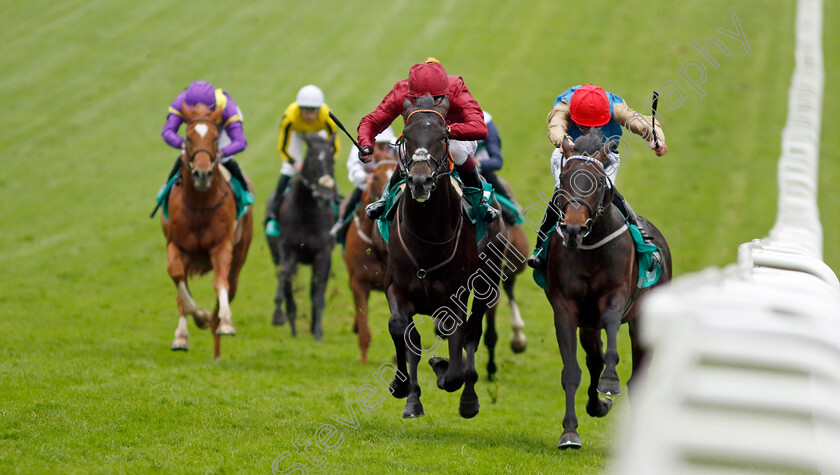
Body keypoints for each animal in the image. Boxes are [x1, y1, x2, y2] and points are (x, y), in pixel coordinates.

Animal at [160, 102, 253, 358]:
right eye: (188, 138)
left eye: (214, 138)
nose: (202, 173)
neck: (200, 203)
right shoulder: (175, 245)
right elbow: (177, 277)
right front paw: (198, 318)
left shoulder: (221, 246)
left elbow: (220, 283)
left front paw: (225, 322)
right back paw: (182, 337)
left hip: (240, 255)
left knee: (230, 284)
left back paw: (217, 333)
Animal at [268, 134, 336, 342]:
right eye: (312, 161)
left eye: (332, 162)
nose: (326, 196)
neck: (308, 213)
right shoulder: (288, 250)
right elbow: (284, 276)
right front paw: (278, 315)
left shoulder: (323, 254)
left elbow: (318, 293)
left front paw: (318, 333)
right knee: (289, 289)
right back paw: (293, 328)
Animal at [382, 94, 502, 420]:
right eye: (406, 136)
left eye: (442, 137)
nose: (420, 181)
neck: (427, 236)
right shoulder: (396, 286)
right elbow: (400, 329)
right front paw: (403, 388)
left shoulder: (455, 298)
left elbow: (455, 359)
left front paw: (442, 367)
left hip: (488, 285)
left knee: (473, 334)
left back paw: (469, 399)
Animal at [544, 133, 676, 450]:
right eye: (564, 178)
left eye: (597, 181)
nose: (574, 229)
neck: (590, 248)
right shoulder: (566, 308)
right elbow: (573, 371)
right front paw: (570, 432)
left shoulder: (615, 296)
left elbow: (613, 332)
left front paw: (610, 381)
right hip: (588, 326)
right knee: (593, 360)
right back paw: (596, 406)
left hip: (642, 321)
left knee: (637, 376)